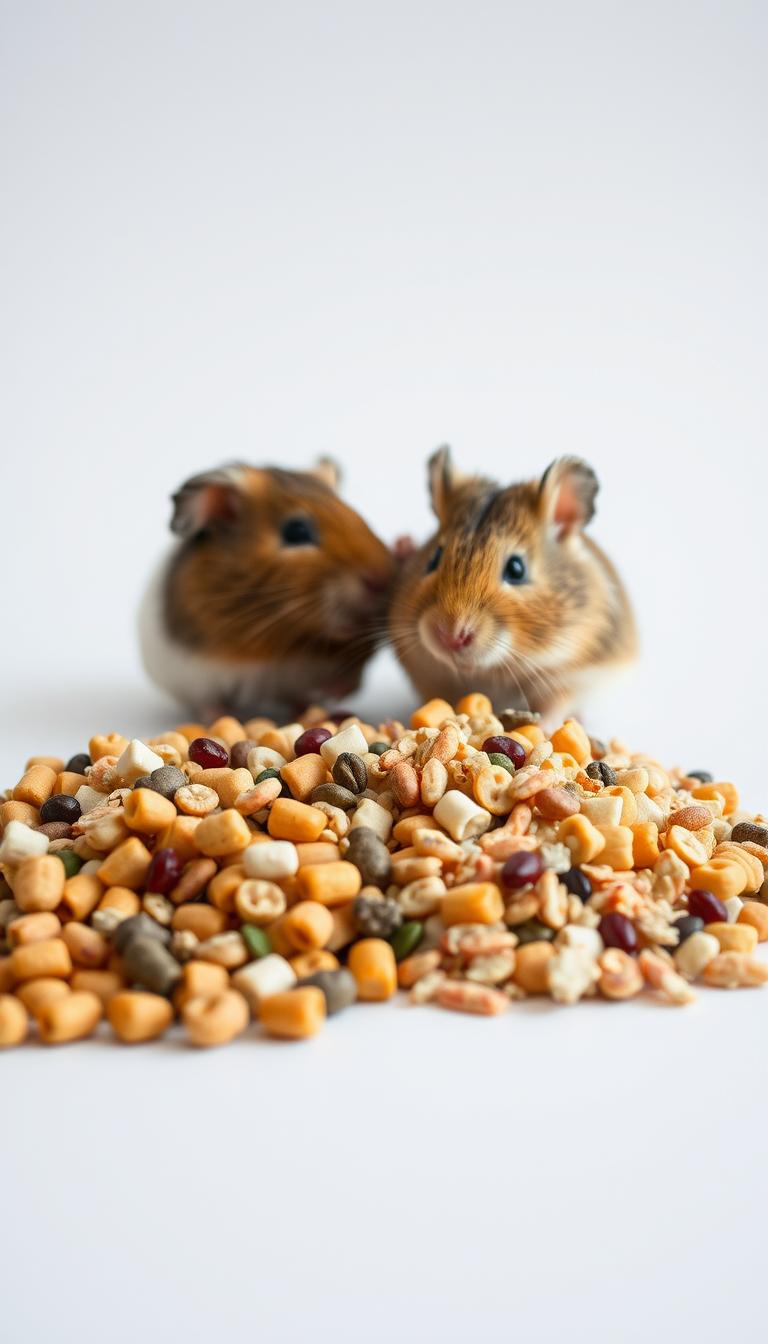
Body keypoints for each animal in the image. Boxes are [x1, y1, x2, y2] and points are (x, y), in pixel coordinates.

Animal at [389, 447, 637, 721]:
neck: (489, 672)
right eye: (434, 558)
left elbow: (553, 708)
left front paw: (540, 725)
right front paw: (403, 544)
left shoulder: (570, 676)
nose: (450, 637)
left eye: (516, 569)